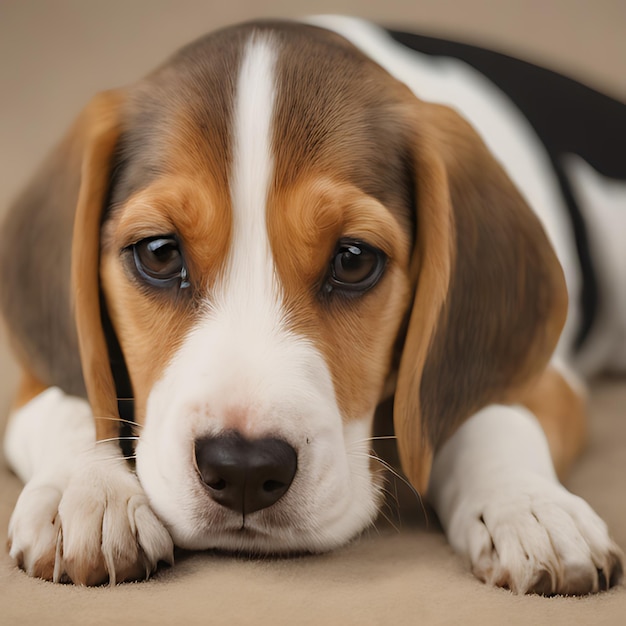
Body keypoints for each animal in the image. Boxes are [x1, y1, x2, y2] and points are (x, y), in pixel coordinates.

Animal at [1, 14, 624, 588]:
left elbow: (488, 415)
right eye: (158, 253)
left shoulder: (551, 380)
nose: (244, 469)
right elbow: (71, 401)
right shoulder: (36, 378)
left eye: (353, 260)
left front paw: (531, 506)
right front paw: (88, 492)